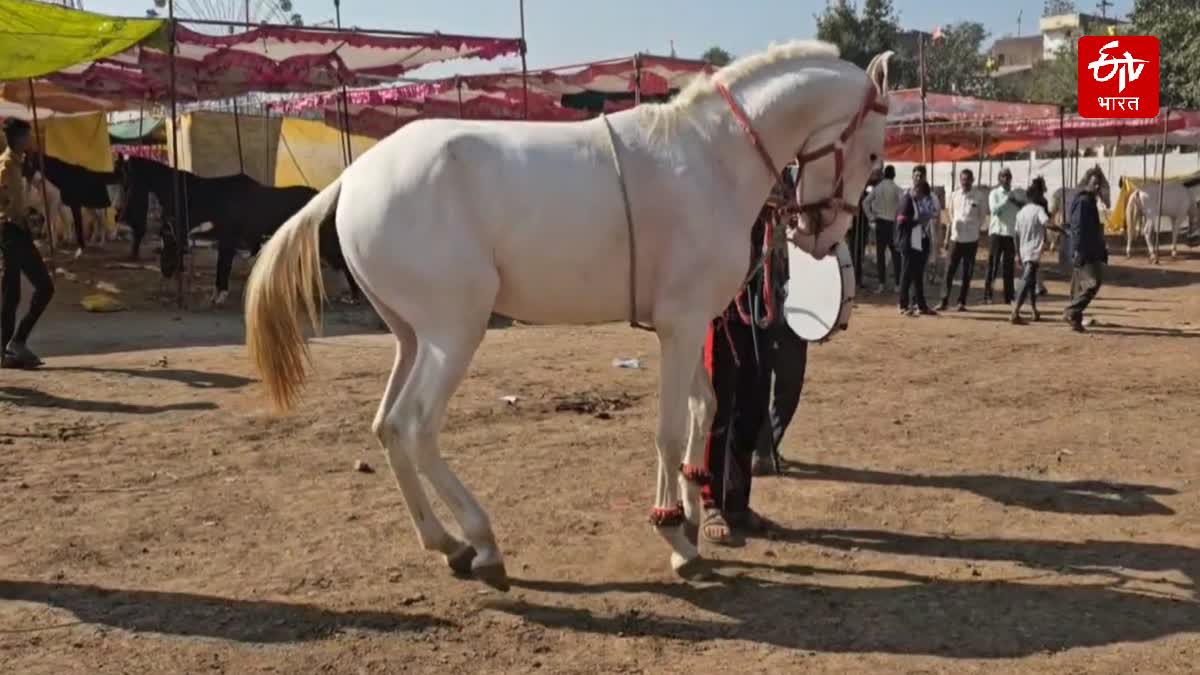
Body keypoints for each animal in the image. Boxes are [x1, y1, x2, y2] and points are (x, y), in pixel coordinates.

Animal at [116, 154, 360, 305]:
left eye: (126, 180)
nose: (119, 213)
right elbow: (222, 266)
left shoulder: (228, 239)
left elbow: (223, 267)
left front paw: (219, 296)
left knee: (342, 260)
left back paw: (354, 295)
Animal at [241, 43, 892, 588]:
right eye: (876, 153)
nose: (819, 234)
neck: (709, 159)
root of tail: (353, 178)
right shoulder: (681, 326)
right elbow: (670, 428)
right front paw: (675, 537)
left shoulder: (686, 324)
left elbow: (703, 409)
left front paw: (691, 515)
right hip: (454, 333)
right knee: (412, 427)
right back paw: (481, 540)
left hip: (412, 337)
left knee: (385, 427)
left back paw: (446, 543)